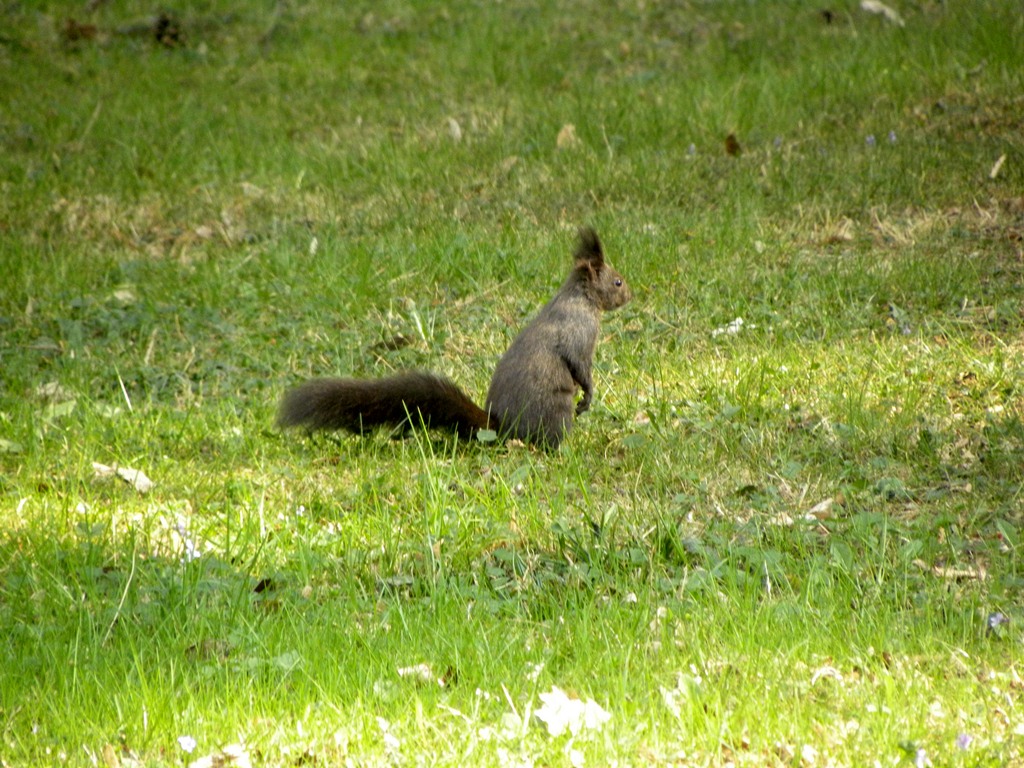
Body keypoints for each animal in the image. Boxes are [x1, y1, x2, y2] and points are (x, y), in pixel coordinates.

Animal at [280, 225, 630, 448]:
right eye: (617, 282)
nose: (631, 295)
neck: (580, 298)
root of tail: (501, 428)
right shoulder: (578, 332)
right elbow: (580, 366)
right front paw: (588, 397)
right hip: (554, 412)